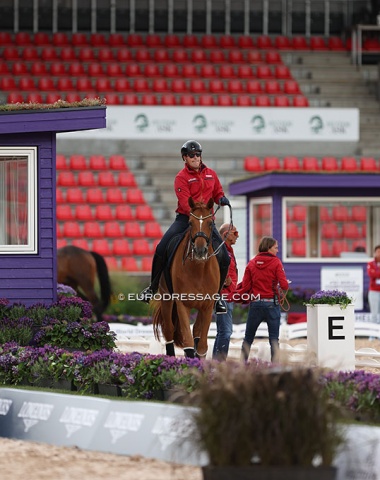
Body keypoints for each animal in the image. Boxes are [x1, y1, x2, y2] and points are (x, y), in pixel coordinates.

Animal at [151, 197, 220, 358]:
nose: (200, 250)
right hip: (167, 298)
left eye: (210, 223)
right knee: (169, 329)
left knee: (196, 331)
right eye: (190, 223)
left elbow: (201, 345)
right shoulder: (183, 304)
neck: (199, 270)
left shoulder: (207, 306)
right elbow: (188, 343)